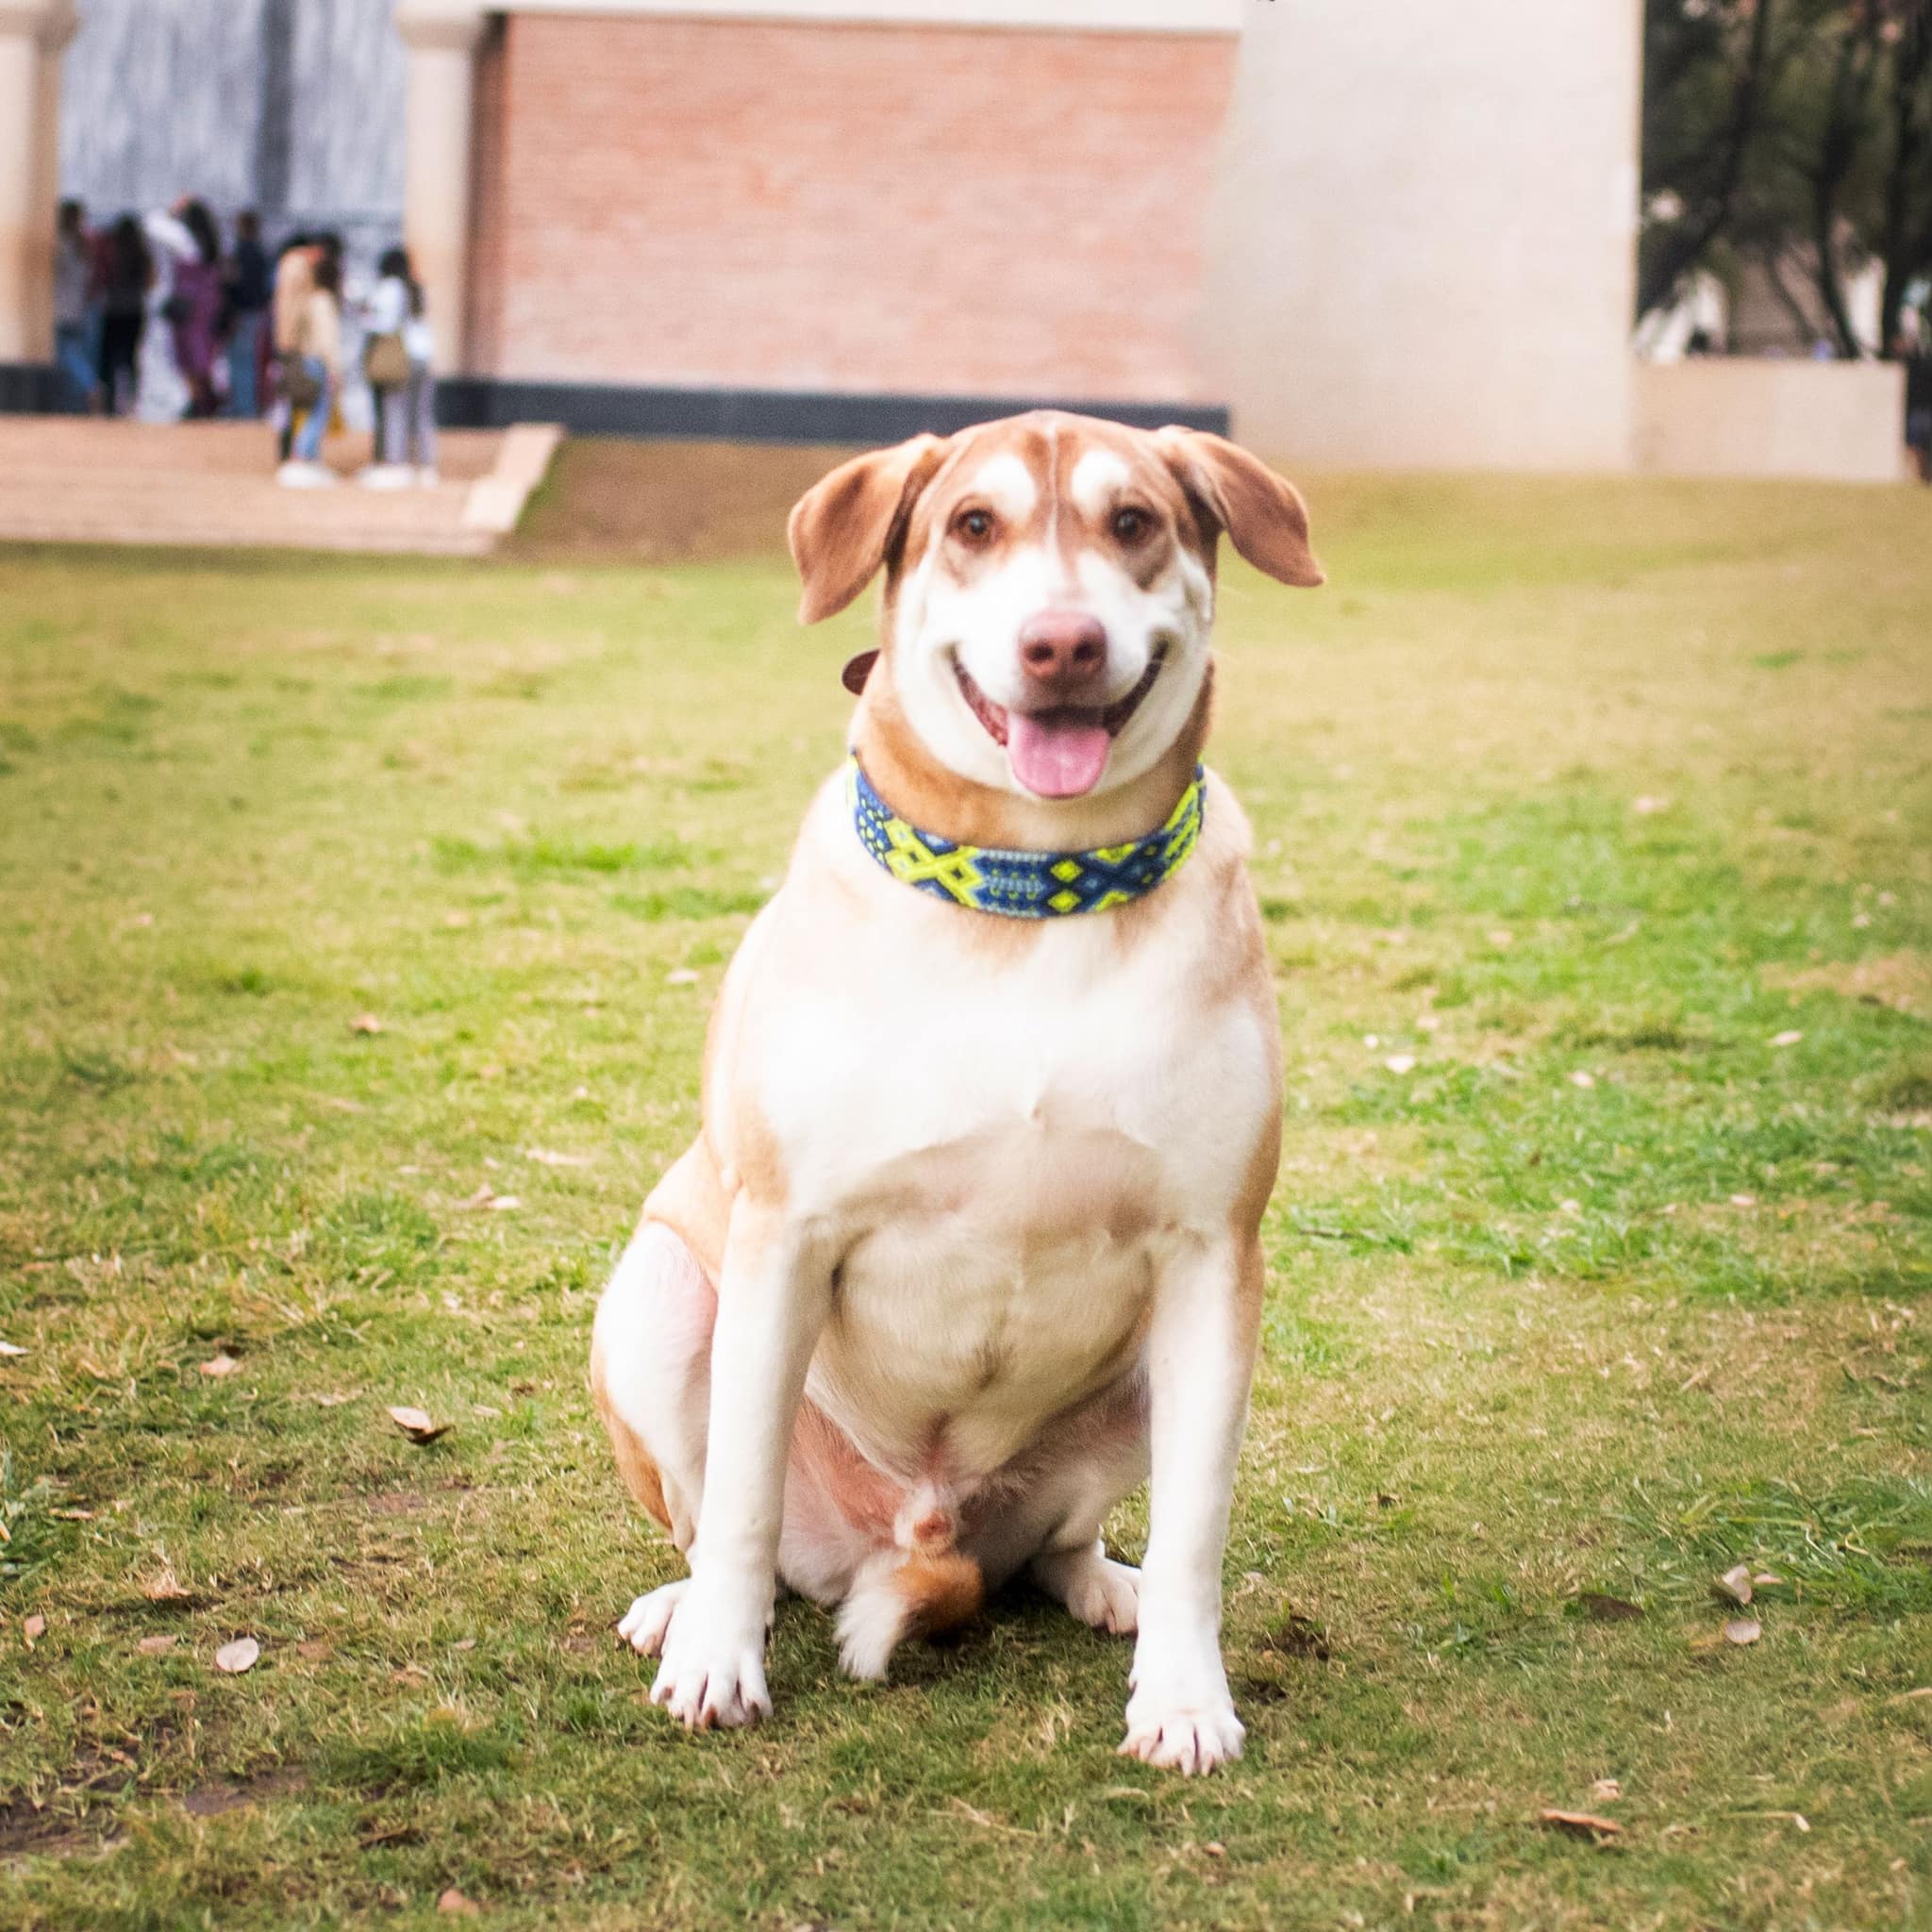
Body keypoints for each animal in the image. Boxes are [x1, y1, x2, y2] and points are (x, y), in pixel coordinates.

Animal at [594, 415, 1321, 1769]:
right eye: (973, 525)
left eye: (1133, 523)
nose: (1062, 641)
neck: (1033, 889)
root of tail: (916, 1535)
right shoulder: (783, 1235)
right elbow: (739, 1492)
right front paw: (718, 1659)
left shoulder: (1212, 1256)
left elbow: (1198, 1527)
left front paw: (1183, 1697)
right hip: (661, 1295)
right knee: (729, 1525)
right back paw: (691, 1607)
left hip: (1137, 1380)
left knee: (1056, 1545)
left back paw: (1102, 1585)